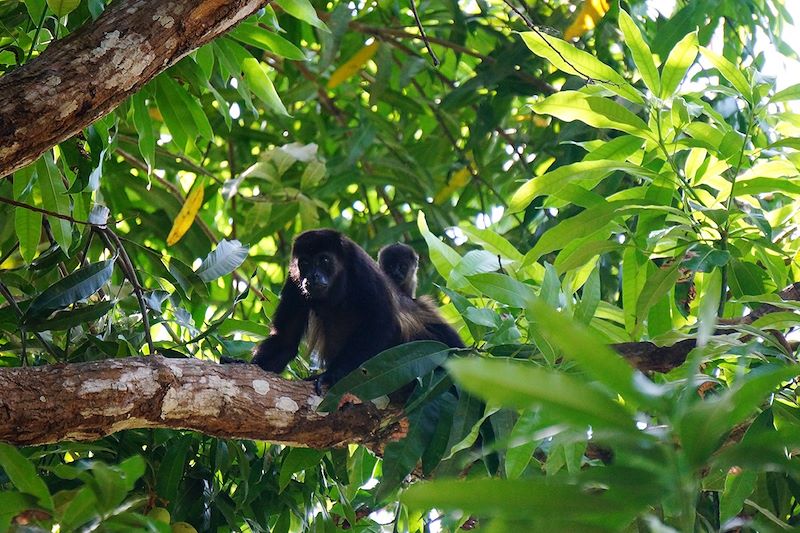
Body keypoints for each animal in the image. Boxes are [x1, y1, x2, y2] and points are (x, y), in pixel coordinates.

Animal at [248, 229, 462, 386]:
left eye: (324, 260)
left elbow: (381, 323)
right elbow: (285, 339)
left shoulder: (362, 269)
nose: (312, 277)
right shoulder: (294, 282)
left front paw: (331, 375)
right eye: (305, 263)